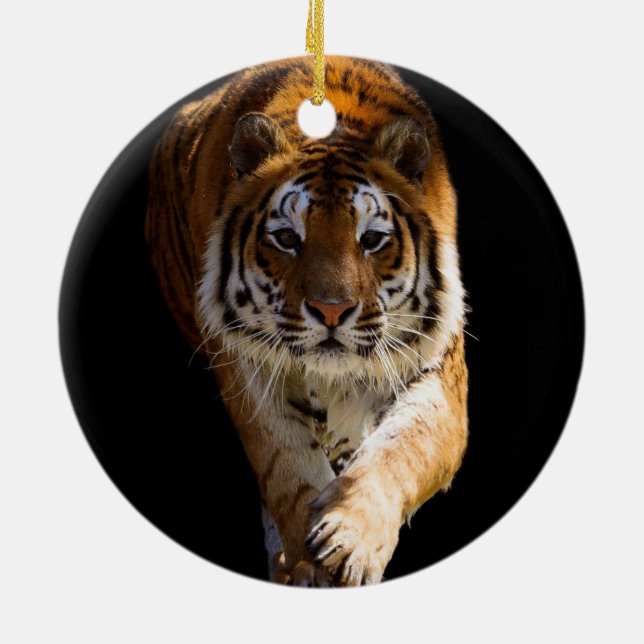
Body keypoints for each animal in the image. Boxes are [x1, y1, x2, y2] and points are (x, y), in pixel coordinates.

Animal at [145, 55, 468, 587]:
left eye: (372, 239)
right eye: (286, 238)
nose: (332, 309)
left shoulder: (436, 367)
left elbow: (404, 449)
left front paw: (350, 540)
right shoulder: (246, 364)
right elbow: (287, 467)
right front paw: (308, 566)